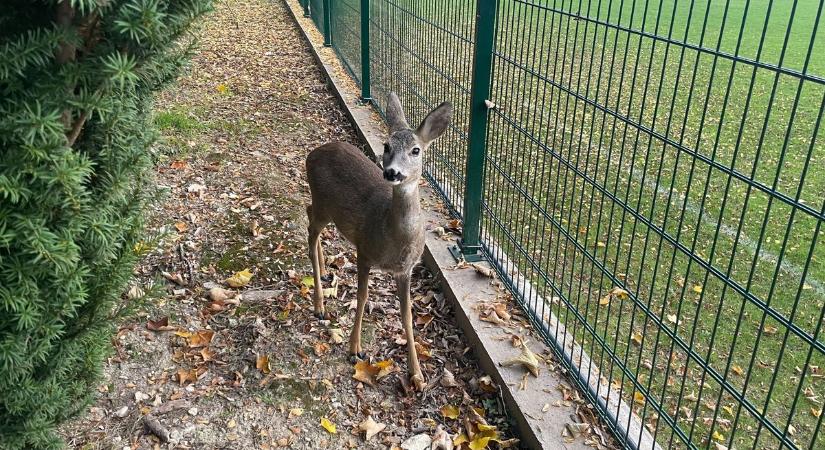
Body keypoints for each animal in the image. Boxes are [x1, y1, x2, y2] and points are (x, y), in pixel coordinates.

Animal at [306, 92, 454, 390]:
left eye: (416, 150)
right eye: (386, 146)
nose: (392, 172)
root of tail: (311, 154)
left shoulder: (406, 269)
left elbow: (407, 315)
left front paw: (417, 375)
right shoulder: (364, 250)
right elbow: (362, 297)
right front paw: (354, 349)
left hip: (324, 209)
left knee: (307, 215)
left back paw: (326, 272)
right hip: (323, 204)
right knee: (310, 232)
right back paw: (319, 306)